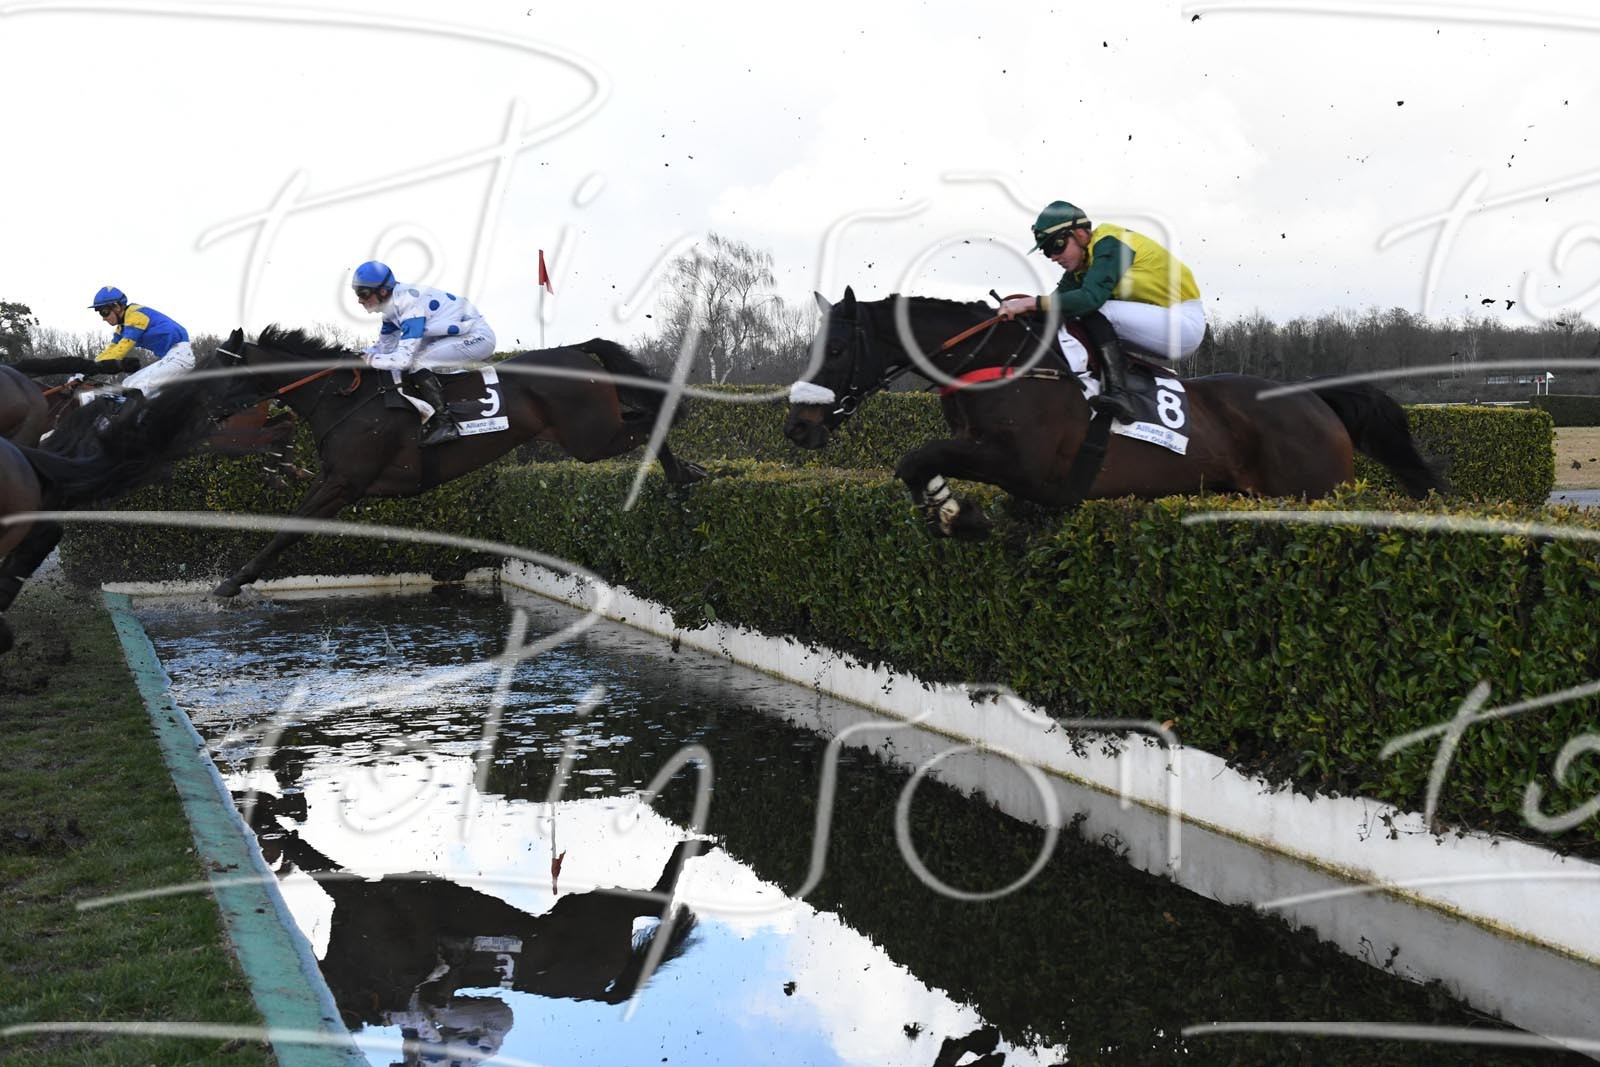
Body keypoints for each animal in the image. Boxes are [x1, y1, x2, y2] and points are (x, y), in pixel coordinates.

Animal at [208, 326, 707, 597]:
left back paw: (682, 474)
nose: (207, 412)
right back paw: (686, 472)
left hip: (591, 439)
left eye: (218, 368)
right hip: (588, 431)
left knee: (650, 423)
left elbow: (288, 530)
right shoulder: (333, 478)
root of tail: (576, 349)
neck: (343, 399)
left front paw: (231, 582)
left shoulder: (345, 482)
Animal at [782, 288, 1444, 537]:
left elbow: (913, 459)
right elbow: (919, 464)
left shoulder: (1028, 466)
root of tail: (1314, 398)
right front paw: (948, 506)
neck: (999, 364)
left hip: (1313, 490)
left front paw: (956, 513)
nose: (796, 425)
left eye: (835, 350)